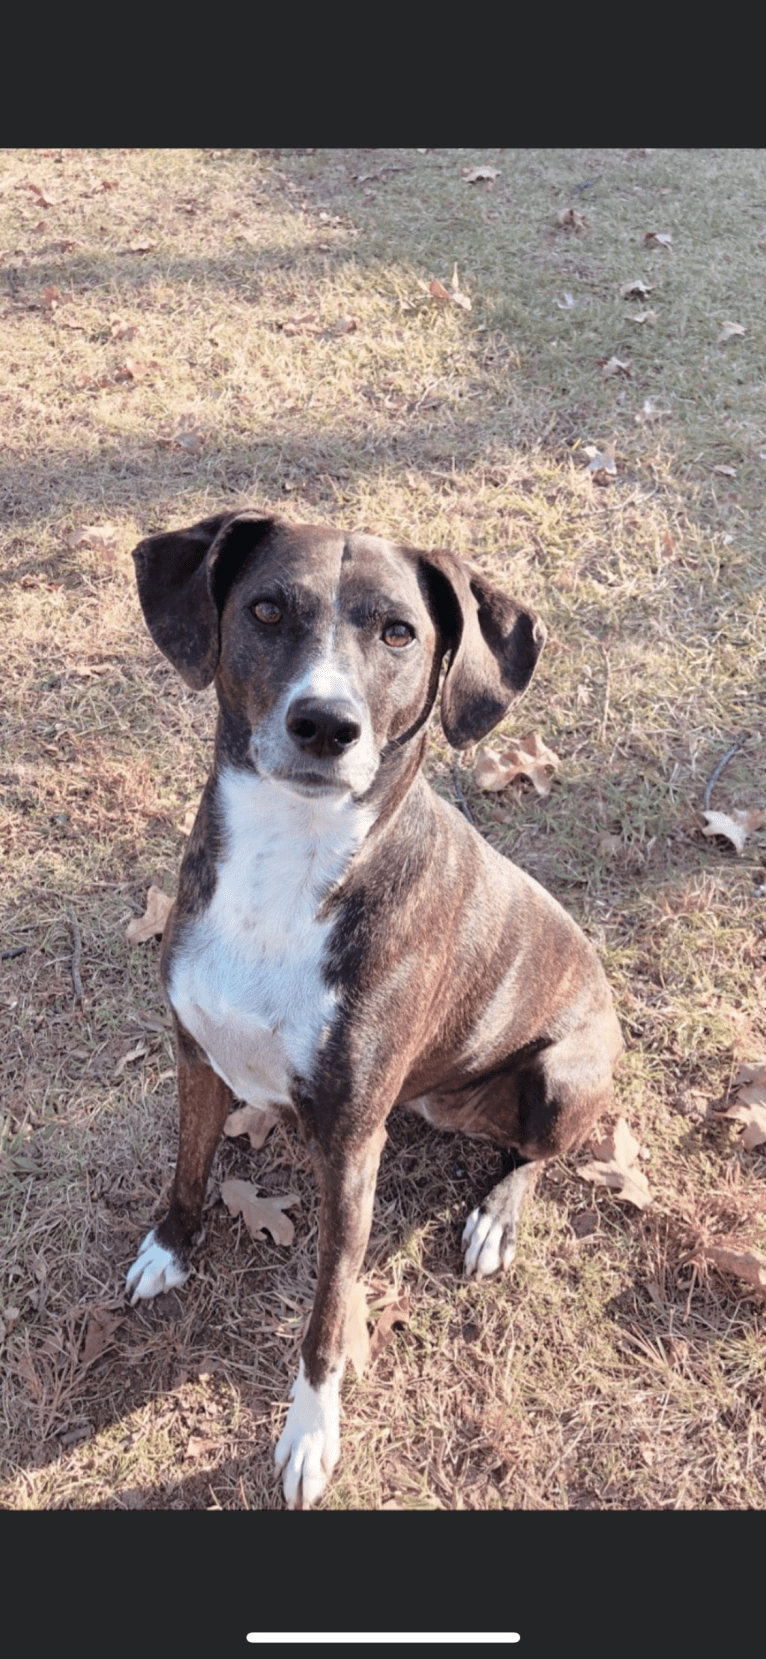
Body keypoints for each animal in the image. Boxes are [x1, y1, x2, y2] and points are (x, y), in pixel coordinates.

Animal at [126, 510, 623, 1513]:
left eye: (399, 631)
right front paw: (171, 1245)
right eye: (266, 608)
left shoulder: (354, 1143)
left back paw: (495, 1214)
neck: (289, 857)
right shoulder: (195, 1053)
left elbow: (327, 1311)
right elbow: (189, 1166)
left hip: (562, 1073)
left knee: (539, 1152)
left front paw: (310, 1434)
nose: (325, 724)